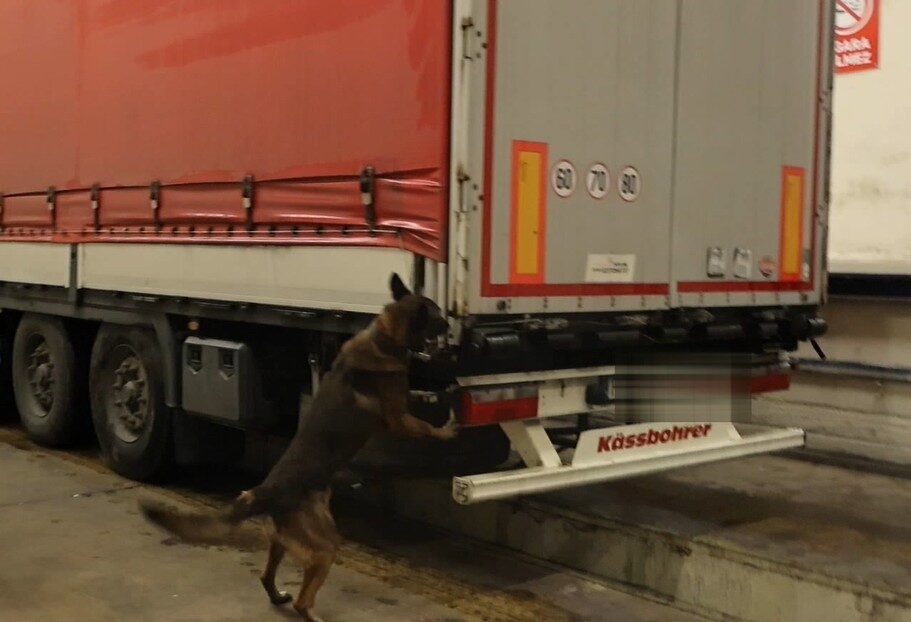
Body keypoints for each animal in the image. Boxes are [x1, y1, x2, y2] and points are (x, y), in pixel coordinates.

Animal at [141, 273, 456, 621]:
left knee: (266, 577)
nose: (449, 324)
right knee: (302, 601)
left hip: (283, 539)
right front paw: (449, 428)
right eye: (437, 315)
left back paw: (278, 595)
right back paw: (310, 613)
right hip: (325, 545)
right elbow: (427, 427)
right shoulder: (399, 419)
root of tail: (264, 492)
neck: (384, 337)